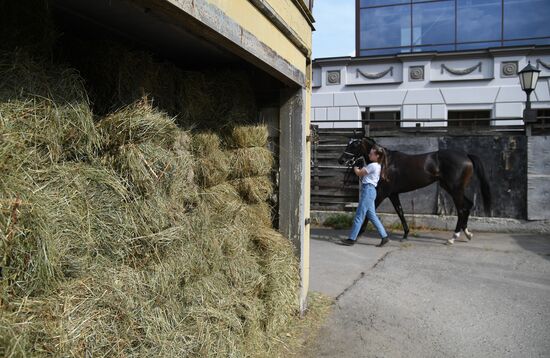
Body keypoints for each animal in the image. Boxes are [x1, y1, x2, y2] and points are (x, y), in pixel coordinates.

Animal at [338, 136, 494, 245]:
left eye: (354, 144)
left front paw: (358, 235)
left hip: (455, 189)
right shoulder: (393, 194)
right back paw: (467, 234)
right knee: (467, 206)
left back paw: (453, 238)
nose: (341, 160)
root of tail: (466, 156)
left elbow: (368, 212)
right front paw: (406, 234)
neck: (385, 163)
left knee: (461, 210)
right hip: (452, 188)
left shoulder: (383, 193)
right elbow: (400, 212)